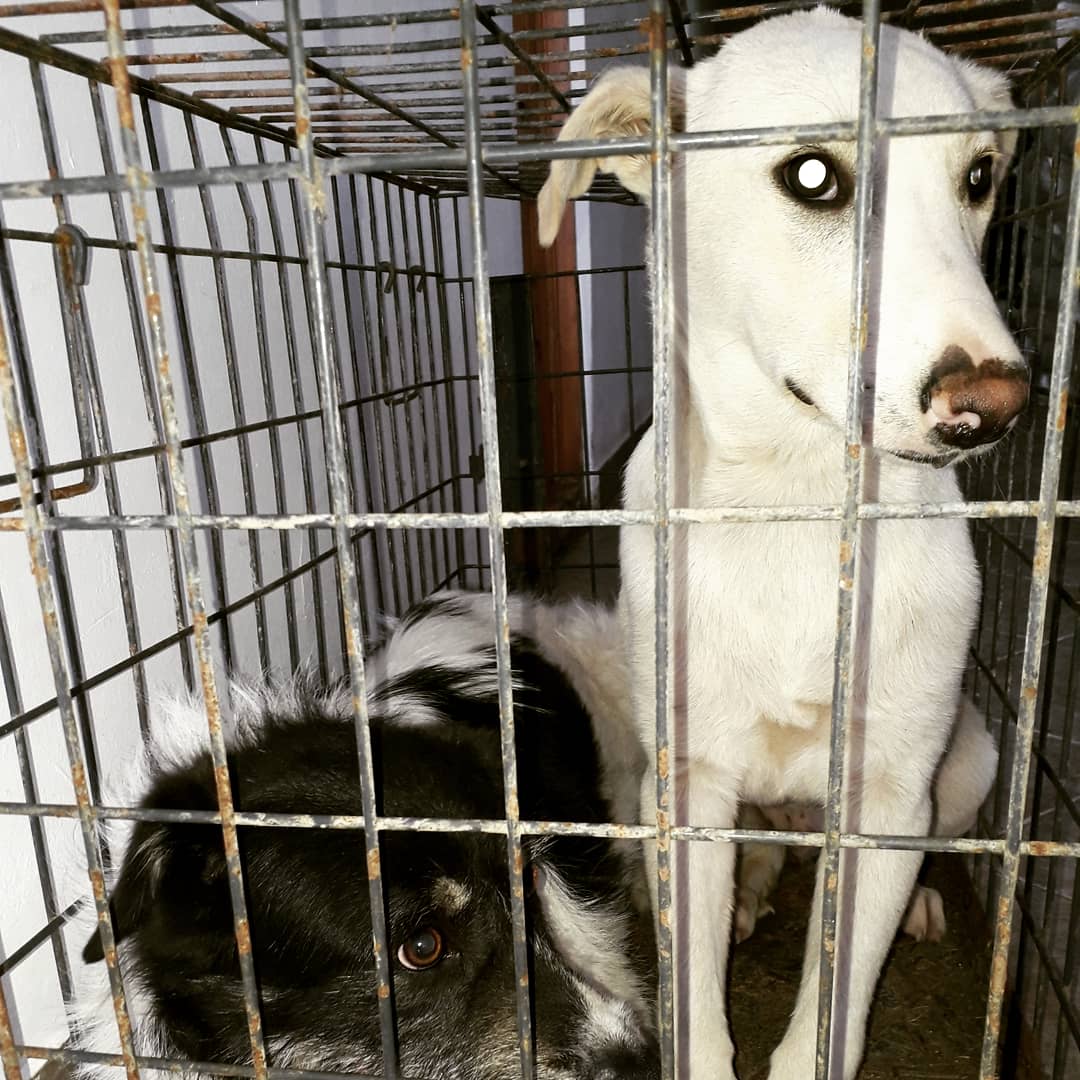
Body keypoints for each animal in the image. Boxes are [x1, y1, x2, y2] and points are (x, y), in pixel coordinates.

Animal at [538, 9, 1024, 1078]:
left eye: (978, 176)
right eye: (811, 176)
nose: (998, 403)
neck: (802, 513)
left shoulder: (888, 799)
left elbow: (832, 1012)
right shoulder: (689, 789)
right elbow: (696, 1004)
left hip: (970, 760)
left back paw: (919, 903)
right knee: (750, 858)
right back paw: (752, 895)